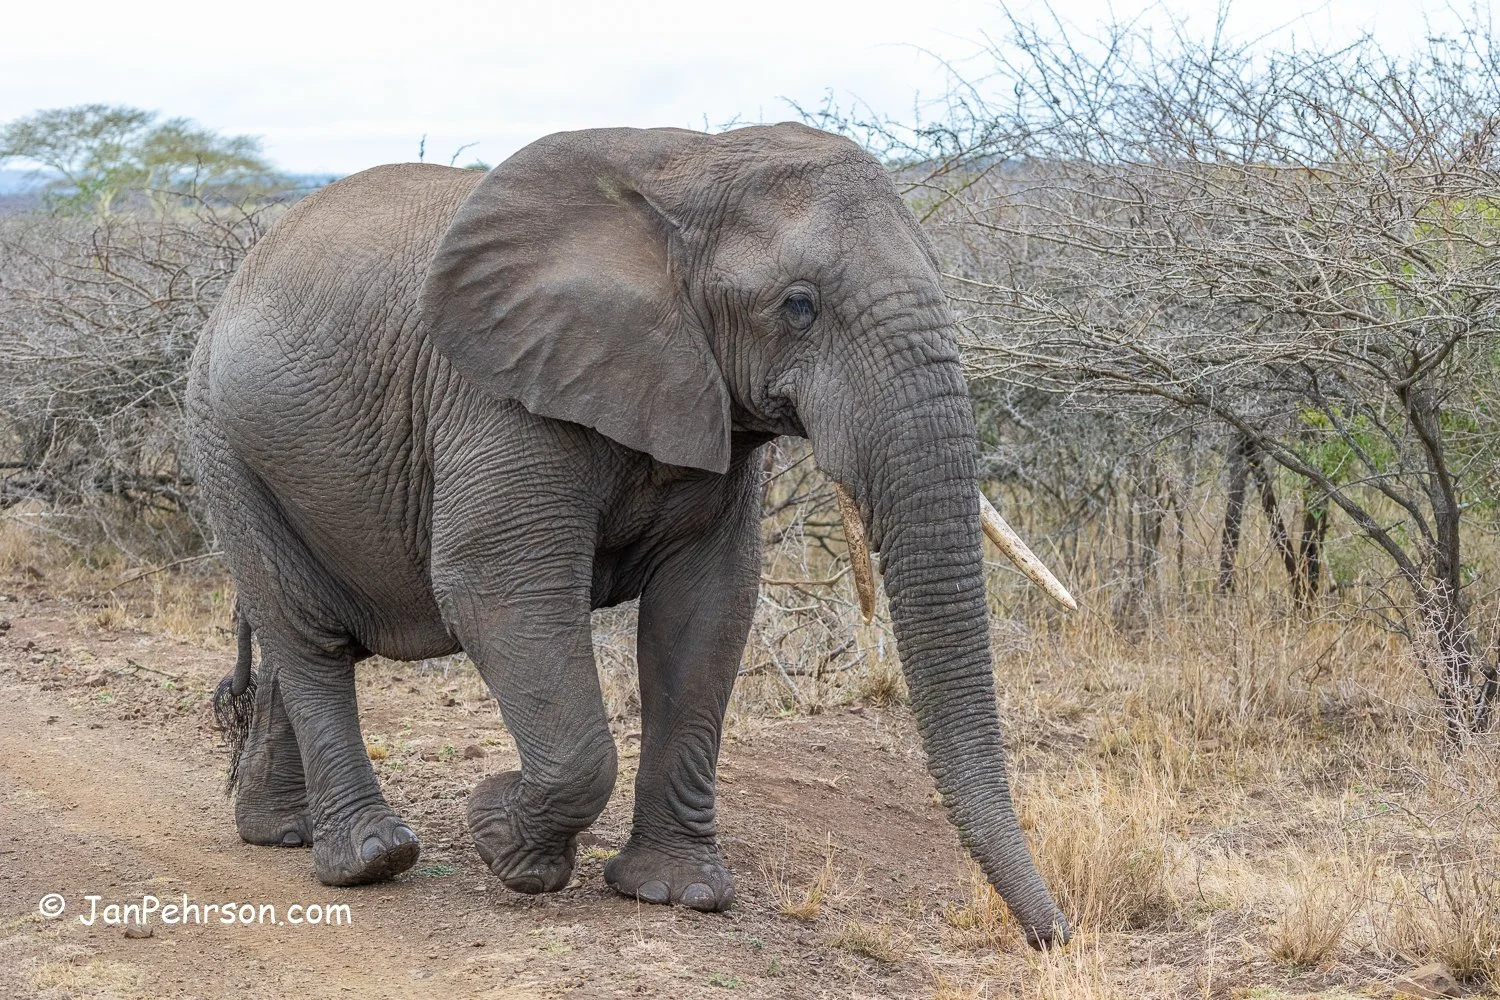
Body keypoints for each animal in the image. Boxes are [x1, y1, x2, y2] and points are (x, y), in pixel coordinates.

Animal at [188, 122, 1075, 947]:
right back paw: (371, 859)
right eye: (798, 306)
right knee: (308, 637)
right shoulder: (500, 395)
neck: (689, 168)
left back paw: (279, 833)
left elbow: (708, 606)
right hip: (223, 442)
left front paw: (674, 893)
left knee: (305, 638)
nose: (1057, 936)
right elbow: (494, 588)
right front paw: (498, 835)